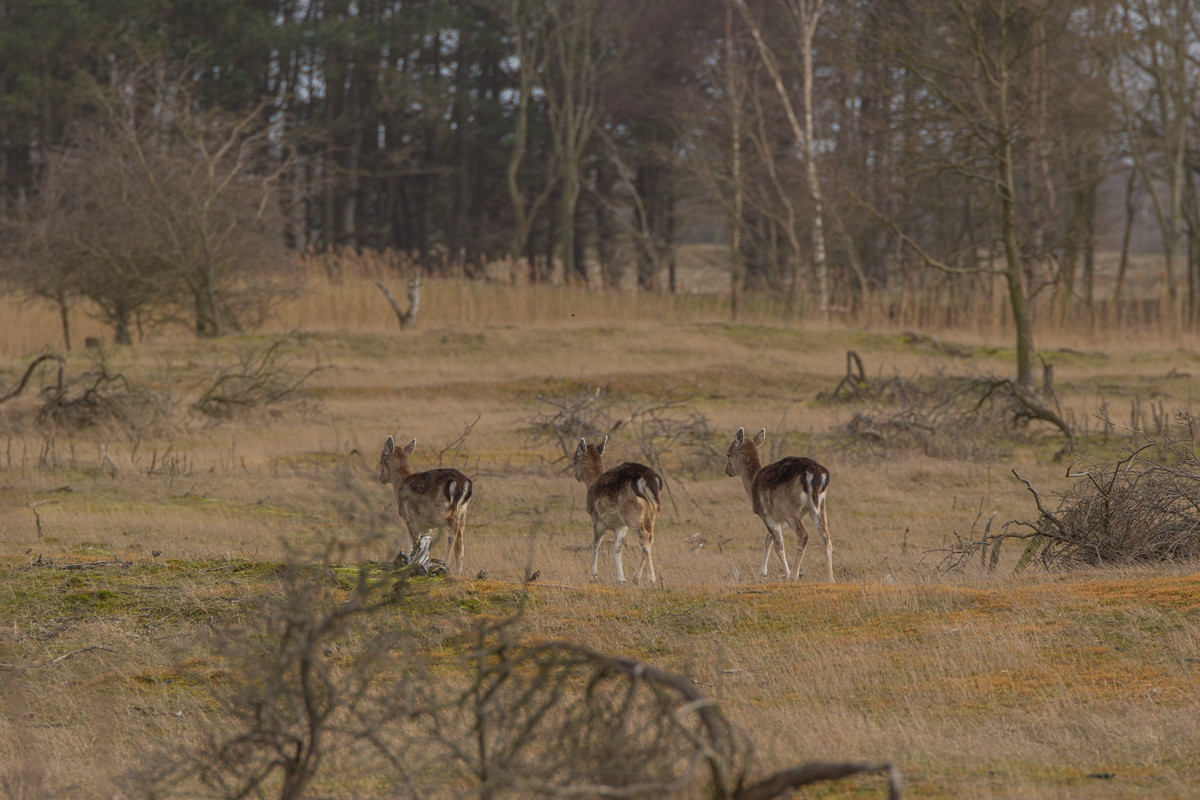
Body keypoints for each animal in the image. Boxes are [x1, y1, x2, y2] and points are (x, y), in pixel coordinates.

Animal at [376, 434, 470, 573]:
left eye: (381, 461)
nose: (381, 478)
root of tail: (461, 483)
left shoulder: (409, 519)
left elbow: (415, 544)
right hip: (462, 512)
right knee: (460, 540)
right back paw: (458, 573)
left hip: (435, 512)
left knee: (452, 527)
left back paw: (444, 564)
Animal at [573, 434, 667, 585]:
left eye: (574, 462)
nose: (576, 476)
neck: (591, 484)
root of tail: (648, 478)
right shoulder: (621, 526)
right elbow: (617, 550)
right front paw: (621, 579)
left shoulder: (596, 519)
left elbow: (595, 544)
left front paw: (593, 575)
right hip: (650, 514)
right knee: (650, 538)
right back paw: (636, 577)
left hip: (631, 512)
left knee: (644, 536)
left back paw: (651, 579)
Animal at [720, 429, 835, 585]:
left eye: (728, 454)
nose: (727, 470)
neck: (752, 484)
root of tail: (815, 472)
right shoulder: (787, 517)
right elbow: (768, 537)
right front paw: (762, 573)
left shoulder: (766, 514)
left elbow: (778, 545)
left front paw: (786, 574)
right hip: (819, 506)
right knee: (825, 537)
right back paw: (831, 579)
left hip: (787, 507)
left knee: (803, 535)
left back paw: (794, 576)